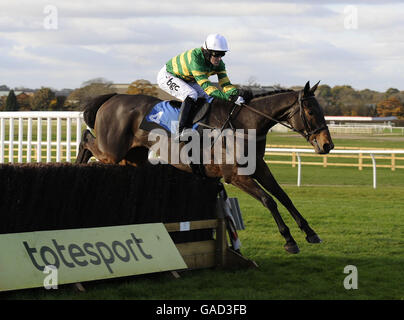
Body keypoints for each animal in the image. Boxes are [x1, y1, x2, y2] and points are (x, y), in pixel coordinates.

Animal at [76, 81, 334, 254]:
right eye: (311, 111)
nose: (327, 145)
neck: (245, 125)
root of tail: (112, 97)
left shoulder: (259, 168)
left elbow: (283, 196)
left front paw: (310, 232)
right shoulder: (236, 176)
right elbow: (269, 200)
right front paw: (289, 240)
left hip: (132, 157)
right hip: (112, 150)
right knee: (87, 139)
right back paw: (77, 163)